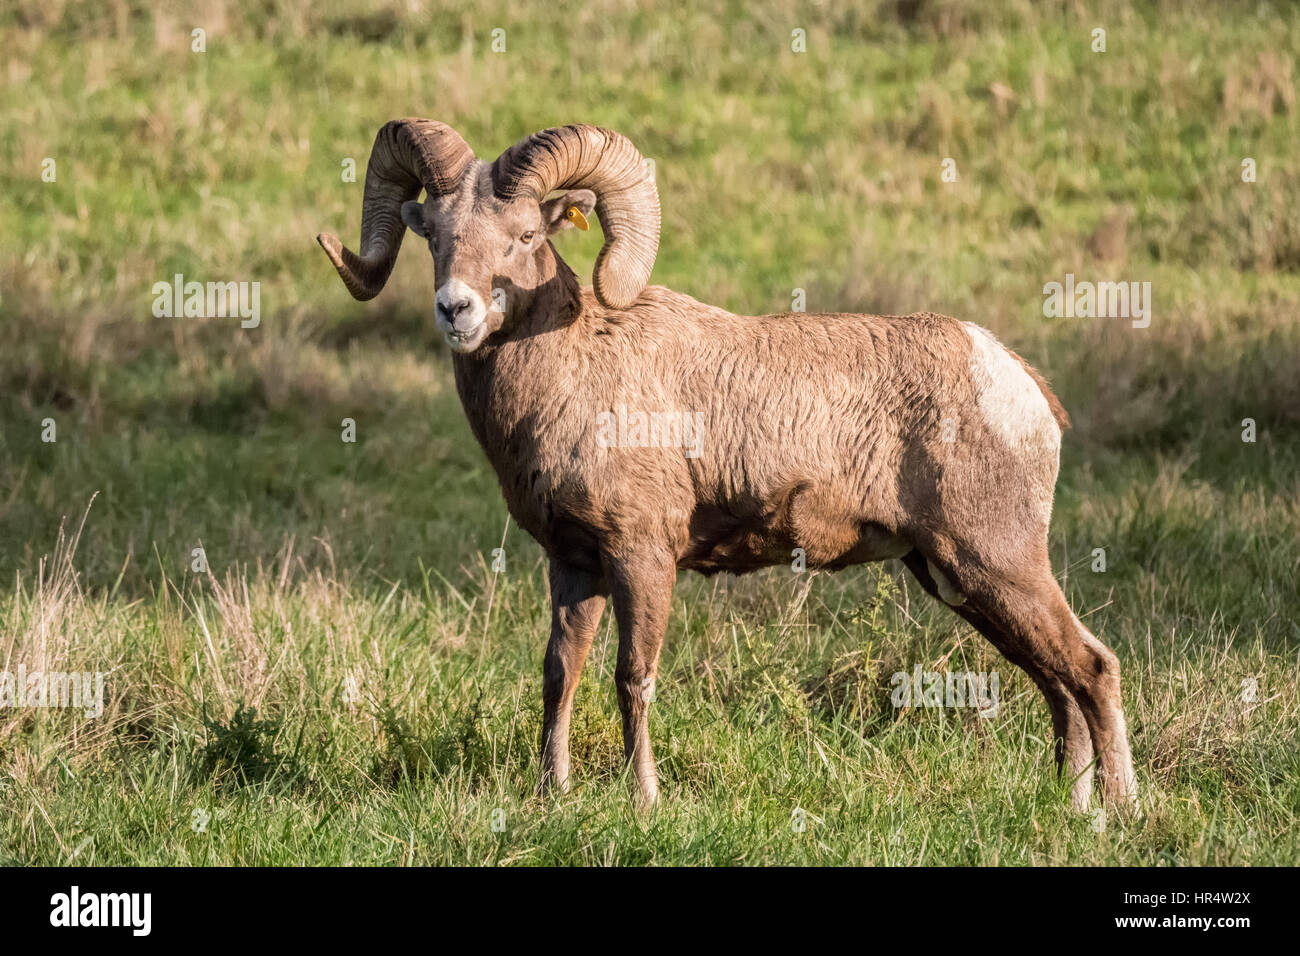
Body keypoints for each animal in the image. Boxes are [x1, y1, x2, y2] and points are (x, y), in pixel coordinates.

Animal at [317, 117, 1138, 806]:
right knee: (1057, 683)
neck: (573, 367)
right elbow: (561, 673)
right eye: (435, 235)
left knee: (1092, 668)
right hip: (960, 580)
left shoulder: (643, 558)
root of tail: (1023, 386)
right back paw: (1072, 806)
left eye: (523, 234)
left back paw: (1116, 813)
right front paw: (553, 792)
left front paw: (643, 799)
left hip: (998, 562)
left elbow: (632, 677)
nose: (455, 309)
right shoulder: (573, 565)